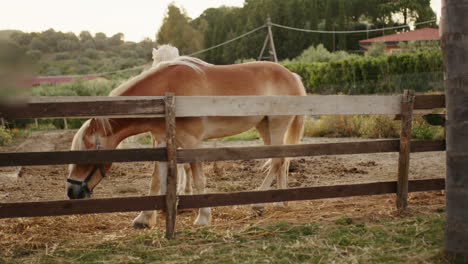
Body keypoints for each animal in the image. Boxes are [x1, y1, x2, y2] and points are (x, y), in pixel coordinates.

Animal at [66, 52, 308, 228]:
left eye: (85, 152)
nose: (71, 192)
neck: (168, 94)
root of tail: (292, 75)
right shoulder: (162, 143)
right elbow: (156, 180)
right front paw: (144, 218)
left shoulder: (192, 142)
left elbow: (199, 178)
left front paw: (203, 218)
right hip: (264, 126)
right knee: (282, 162)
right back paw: (279, 201)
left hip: (277, 124)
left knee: (277, 161)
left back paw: (258, 205)